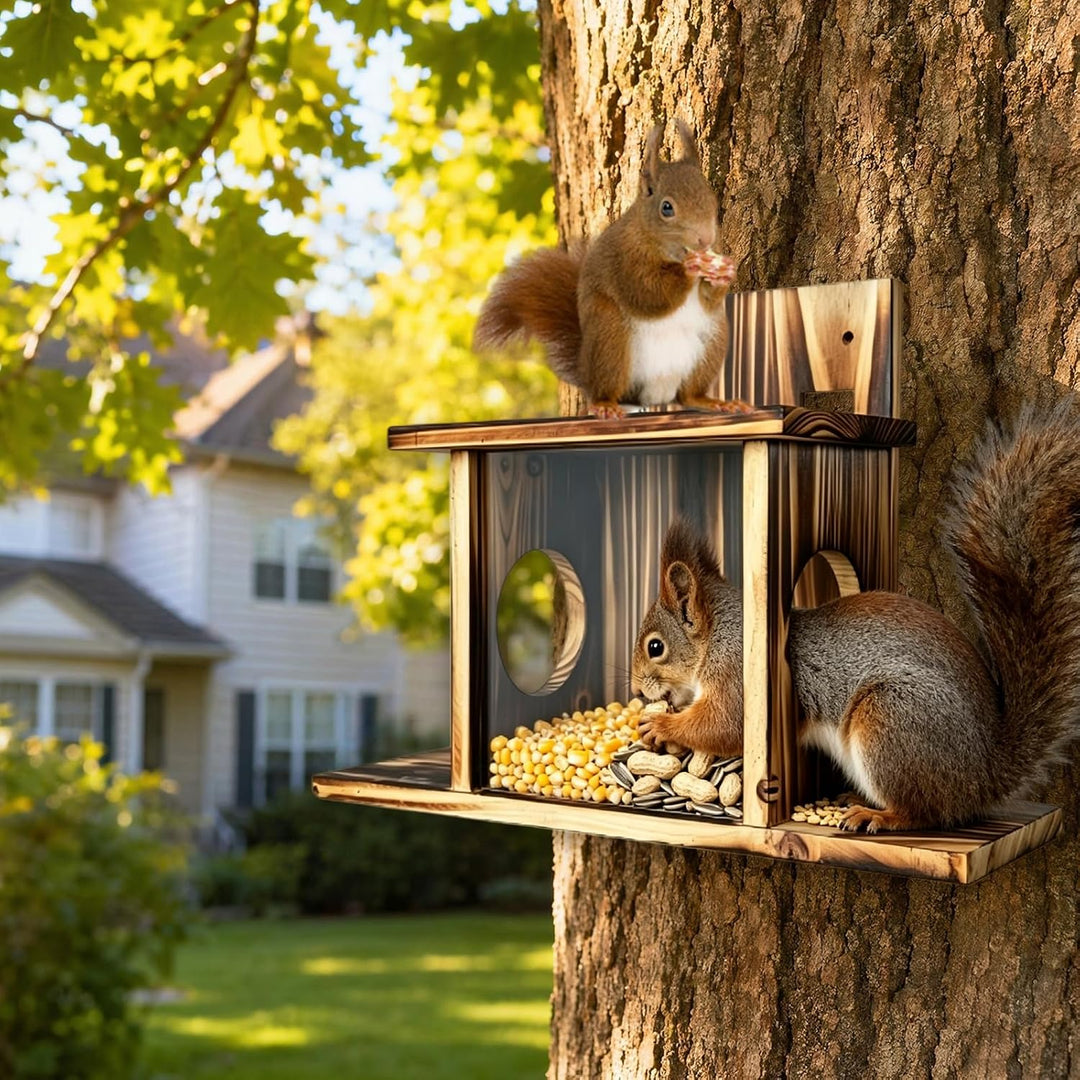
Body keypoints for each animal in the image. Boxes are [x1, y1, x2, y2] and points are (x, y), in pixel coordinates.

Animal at [473, 120, 751, 419]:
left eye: (712, 198)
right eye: (667, 208)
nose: (706, 239)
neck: (658, 244)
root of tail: (655, 393)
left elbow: (710, 298)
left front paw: (725, 272)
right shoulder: (624, 263)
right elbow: (646, 293)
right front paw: (688, 270)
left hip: (712, 342)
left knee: (688, 394)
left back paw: (717, 402)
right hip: (611, 339)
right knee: (609, 388)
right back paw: (605, 405)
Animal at [630, 404, 1080, 832]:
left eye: (656, 647)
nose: (636, 691)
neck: (718, 637)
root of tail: (984, 775)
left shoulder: (739, 676)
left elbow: (723, 726)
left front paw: (661, 727)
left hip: (891, 720)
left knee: (925, 812)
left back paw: (878, 815)